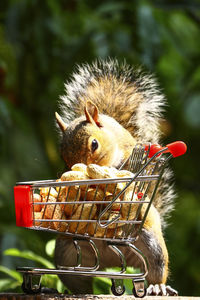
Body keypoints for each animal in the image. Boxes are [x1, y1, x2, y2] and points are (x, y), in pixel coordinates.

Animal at [54, 58, 177, 296]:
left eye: (94, 144)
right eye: (64, 157)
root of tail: (110, 259)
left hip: (151, 244)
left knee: (155, 269)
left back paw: (157, 286)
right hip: (67, 254)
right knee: (76, 280)